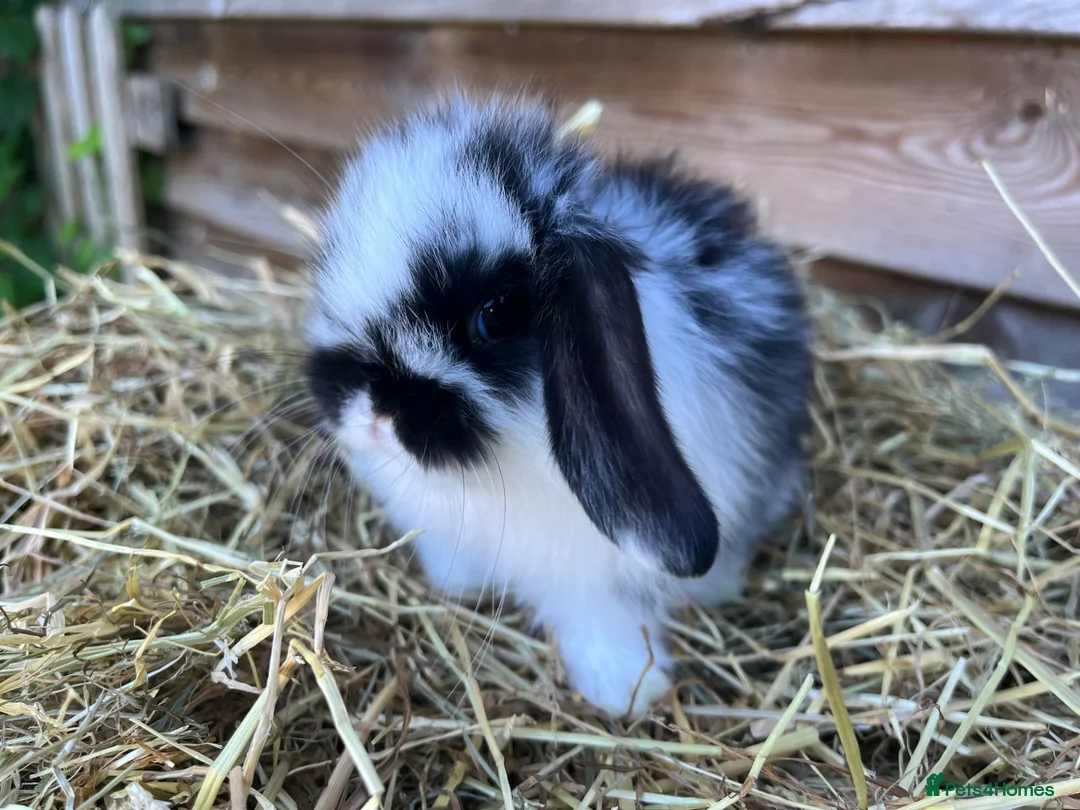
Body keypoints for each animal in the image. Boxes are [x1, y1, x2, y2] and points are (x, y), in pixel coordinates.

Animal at [304, 93, 812, 718]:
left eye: (497, 314)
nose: (374, 413)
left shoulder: (597, 573)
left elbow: (600, 616)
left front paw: (626, 690)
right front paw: (458, 583)